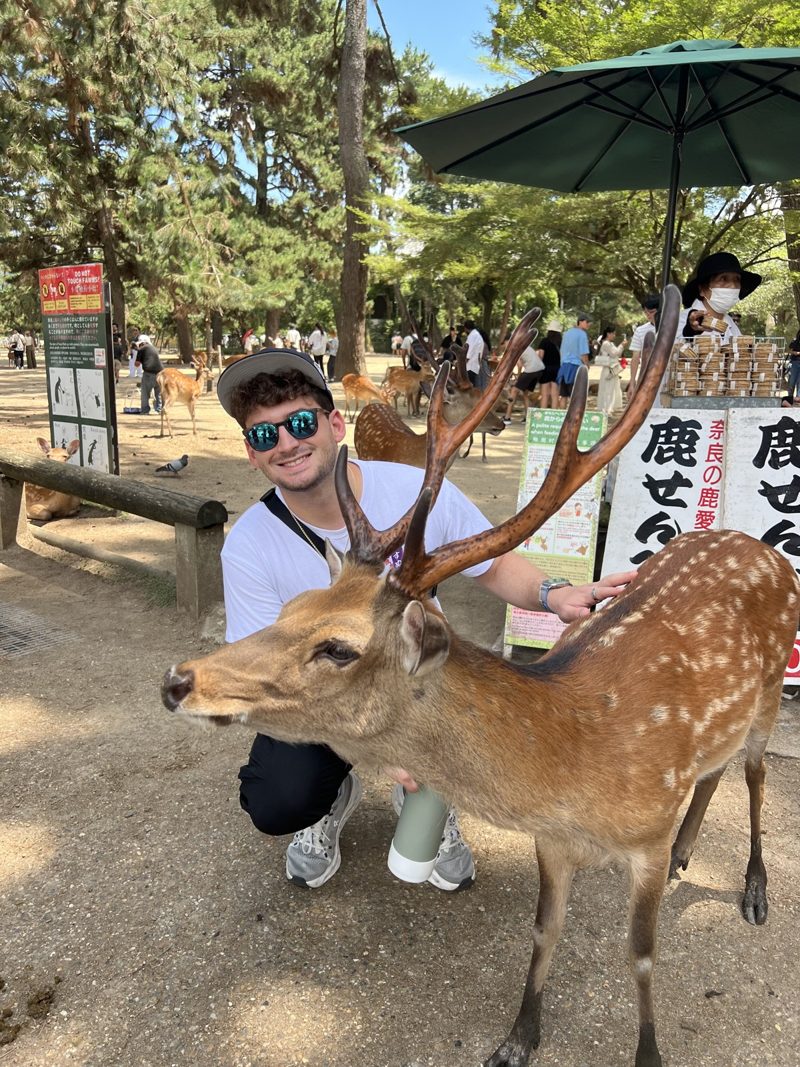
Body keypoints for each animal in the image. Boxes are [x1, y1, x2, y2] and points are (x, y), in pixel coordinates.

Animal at [161, 285, 799, 1067]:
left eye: (338, 646)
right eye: (290, 605)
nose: (179, 678)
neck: (577, 768)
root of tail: (763, 547)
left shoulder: (642, 839)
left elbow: (642, 956)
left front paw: (647, 1053)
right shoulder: (553, 844)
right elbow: (544, 929)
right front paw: (518, 1037)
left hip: (768, 691)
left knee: (755, 769)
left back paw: (754, 889)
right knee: (713, 768)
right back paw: (689, 850)